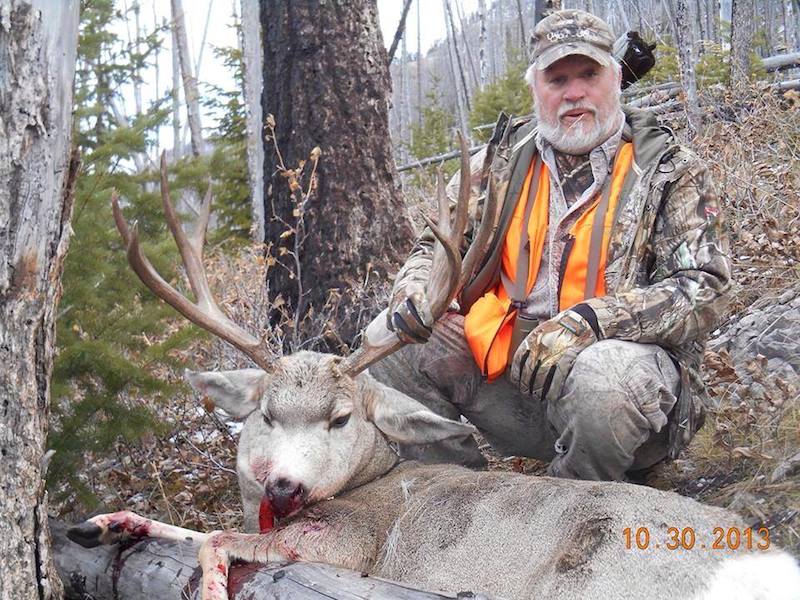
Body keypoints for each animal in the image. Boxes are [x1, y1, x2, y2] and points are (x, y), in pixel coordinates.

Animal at [67, 142, 800, 600]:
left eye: (341, 418)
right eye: (266, 414)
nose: (282, 484)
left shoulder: (347, 545)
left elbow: (215, 537)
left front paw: (213, 582)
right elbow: (194, 528)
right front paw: (102, 522)